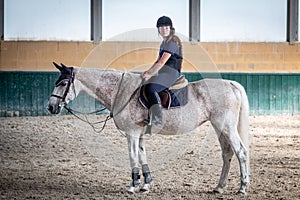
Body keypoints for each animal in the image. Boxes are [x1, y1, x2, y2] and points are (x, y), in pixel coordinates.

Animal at [47, 63, 251, 195]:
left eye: (63, 83)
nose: (51, 107)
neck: (122, 91)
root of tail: (231, 84)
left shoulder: (131, 133)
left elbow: (132, 156)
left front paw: (133, 186)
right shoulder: (139, 134)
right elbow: (142, 155)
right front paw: (145, 185)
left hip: (226, 126)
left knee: (241, 152)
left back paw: (242, 187)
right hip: (219, 128)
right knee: (227, 153)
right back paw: (219, 187)